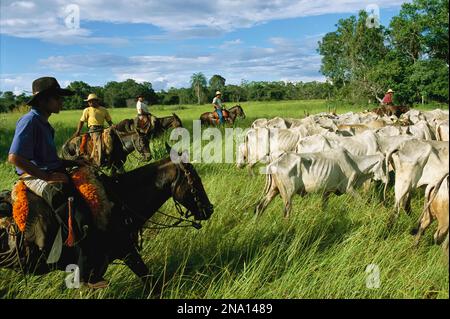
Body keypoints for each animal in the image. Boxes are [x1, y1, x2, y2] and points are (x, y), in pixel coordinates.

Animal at [255, 150, 388, 218]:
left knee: (260, 206)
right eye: (385, 164)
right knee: (286, 213)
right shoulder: (349, 189)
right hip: (287, 194)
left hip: (274, 190)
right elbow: (362, 202)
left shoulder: (326, 192)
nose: (387, 180)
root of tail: (272, 164)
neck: (354, 163)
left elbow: (324, 207)